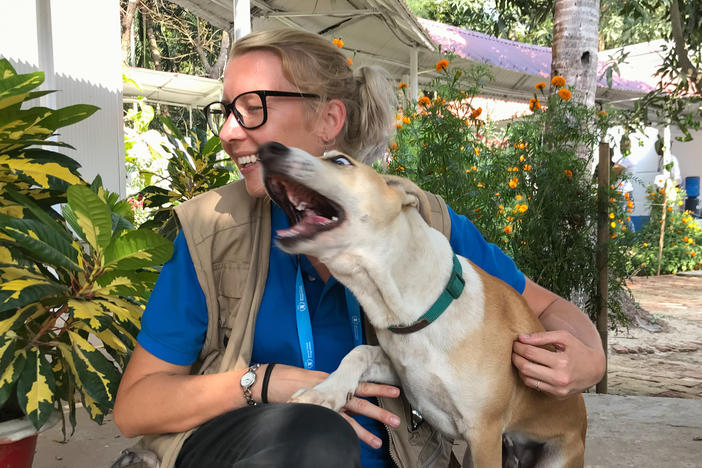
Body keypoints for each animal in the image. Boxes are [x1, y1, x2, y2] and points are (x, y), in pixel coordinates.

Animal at [258, 143, 588, 468]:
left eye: (340, 160)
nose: (267, 148)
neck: (419, 314)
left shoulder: (484, 433)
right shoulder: (402, 372)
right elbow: (358, 352)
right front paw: (324, 393)